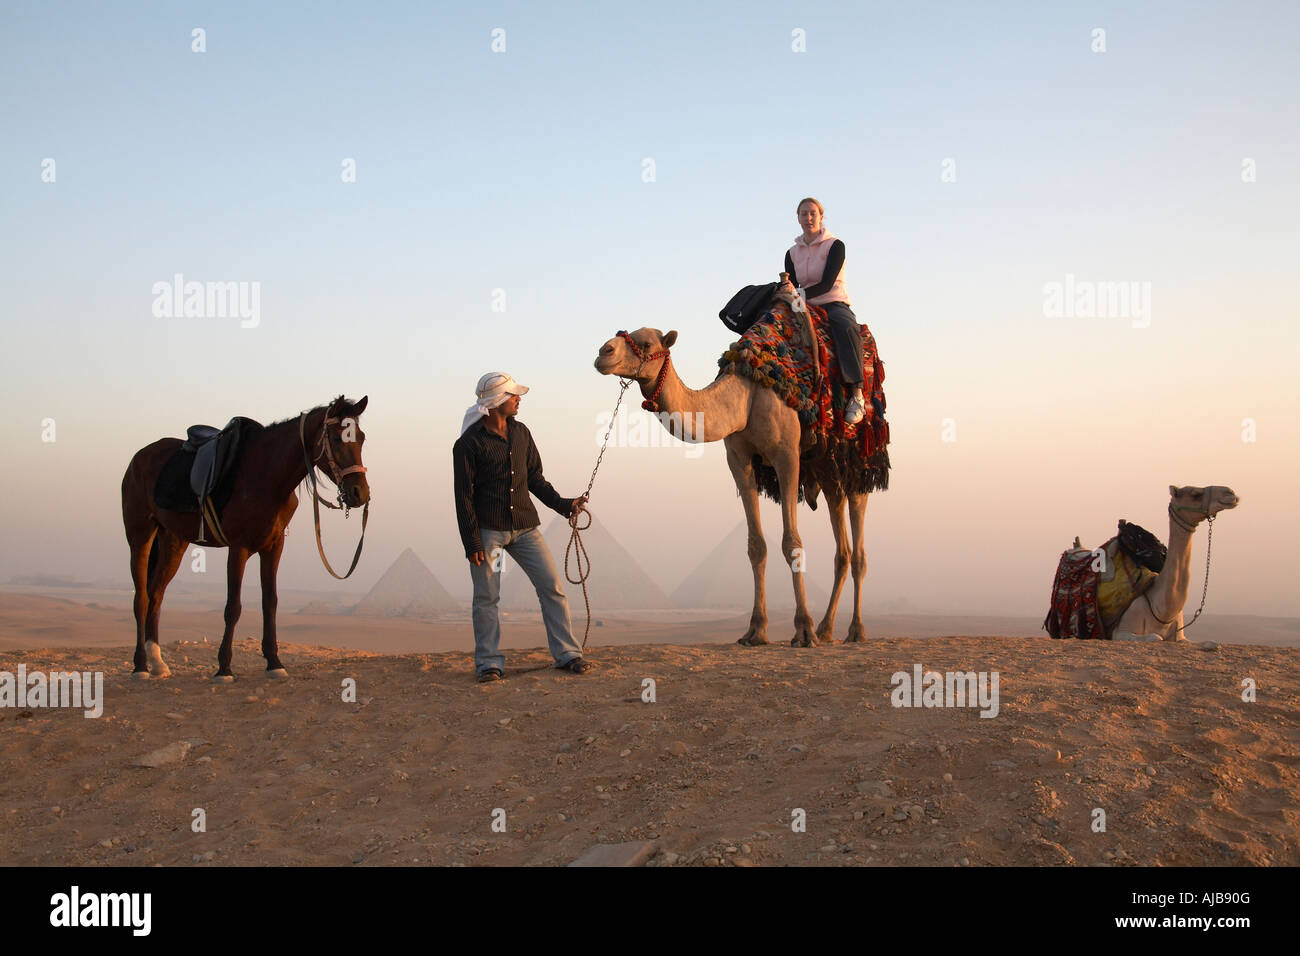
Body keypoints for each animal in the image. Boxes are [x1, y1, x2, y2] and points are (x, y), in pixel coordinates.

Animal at [121, 395, 371, 681]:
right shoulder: (238, 548)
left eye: (361, 438)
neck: (266, 476)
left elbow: (270, 602)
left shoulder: (273, 546)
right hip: (140, 535)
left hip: (174, 541)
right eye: (339, 438)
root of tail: (139, 458)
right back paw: (140, 666)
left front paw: (274, 662)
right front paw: (224, 668)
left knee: (156, 594)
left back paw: (157, 661)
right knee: (141, 598)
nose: (360, 493)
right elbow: (233, 607)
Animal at [595, 325, 883, 647]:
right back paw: (826, 629)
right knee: (841, 545)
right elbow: (756, 545)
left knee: (858, 549)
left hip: (860, 464)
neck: (747, 396)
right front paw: (756, 630)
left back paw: (854, 630)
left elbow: (792, 542)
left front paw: (803, 630)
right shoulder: (738, 457)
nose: (603, 353)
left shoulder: (787, 454)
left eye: (645, 343)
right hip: (828, 470)